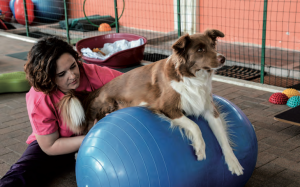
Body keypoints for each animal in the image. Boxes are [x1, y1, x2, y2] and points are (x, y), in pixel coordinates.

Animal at [58, 29, 244, 175]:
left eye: (213, 46)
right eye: (200, 49)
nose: (223, 58)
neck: (192, 78)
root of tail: (94, 91)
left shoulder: (209, 110)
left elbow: (223, 137)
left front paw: (233, 162)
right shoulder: (166, 107)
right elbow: (195, 126)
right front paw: (200, 149)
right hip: (109, 102)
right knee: (88, 130)